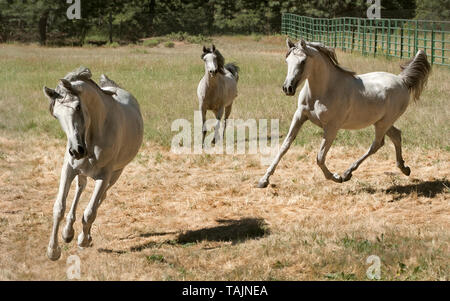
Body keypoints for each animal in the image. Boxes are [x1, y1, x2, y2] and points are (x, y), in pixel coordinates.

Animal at [43, 67, 143, 258]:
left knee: (100, 199)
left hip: (115, 174)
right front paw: (53, 250)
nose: (76, 151)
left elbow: (90, 212)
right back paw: (68, 232)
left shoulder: (104, 176)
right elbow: (59, 207)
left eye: (78, 106)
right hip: (81, 172)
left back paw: (84, 236)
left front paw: (83, 240)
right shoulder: (68, 169)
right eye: (56, 115)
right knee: (80, 189)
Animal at [256, 38, 428, 186]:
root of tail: (402, 80)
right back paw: (404, 168)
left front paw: (336, 177)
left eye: (303, 61)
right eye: (287, 61)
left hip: (383, 123)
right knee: (396, 136)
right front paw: (263, 180)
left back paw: (347, 173)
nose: (288, 88)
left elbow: (319, 157)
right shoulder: (299, 117)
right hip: (381, 122)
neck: (323, 92)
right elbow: (284, 146)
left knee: (377, 144)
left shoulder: (332, 127)